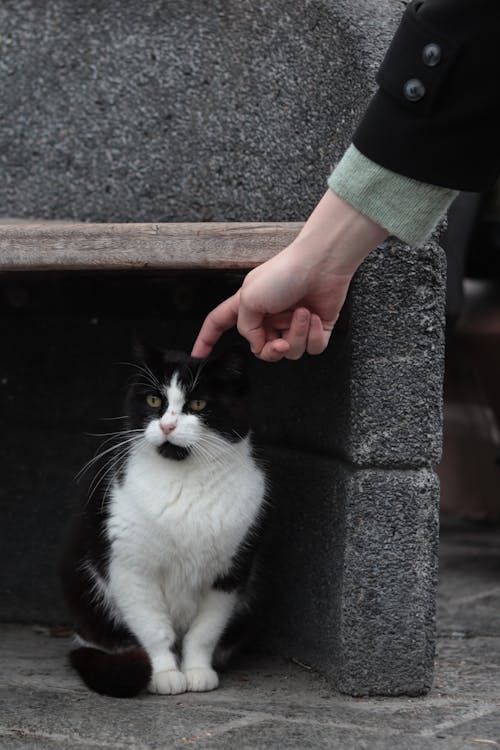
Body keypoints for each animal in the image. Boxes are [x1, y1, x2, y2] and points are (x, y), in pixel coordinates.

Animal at [61, 346, 268, 700]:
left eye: (198, 404)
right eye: (154, 400)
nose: (168, 425)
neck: (185, 479)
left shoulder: (228, 576)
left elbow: (205, 631)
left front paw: (197, 671)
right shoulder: (131, 569)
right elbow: (154, 629)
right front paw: (166, 674)